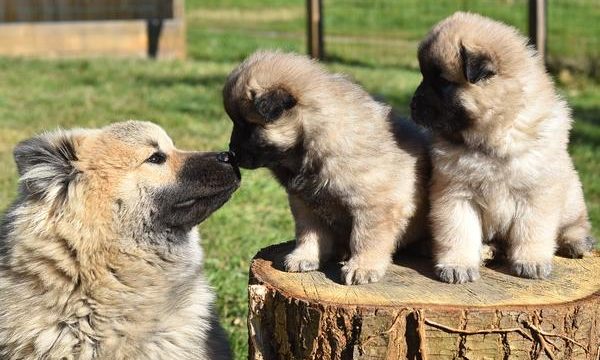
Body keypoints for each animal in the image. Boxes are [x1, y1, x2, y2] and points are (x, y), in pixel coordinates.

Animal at [223, 50, 428, 286]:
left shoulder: (374, 205)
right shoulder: (305, 204)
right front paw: (304, 257)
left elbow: (365, 238)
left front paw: (362, 267)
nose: (231, 153)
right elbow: (309, 233)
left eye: (248, 126)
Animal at [410, 11, 592, 284]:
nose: (412, 103)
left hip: (570, 194)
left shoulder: (536, 195)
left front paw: (531, 262)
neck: (492, 137)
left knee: (575, 223)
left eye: (442, 82)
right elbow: (458, 232)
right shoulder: (455, 194)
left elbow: (532, 231)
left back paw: (576, 242)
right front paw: (457, 265)